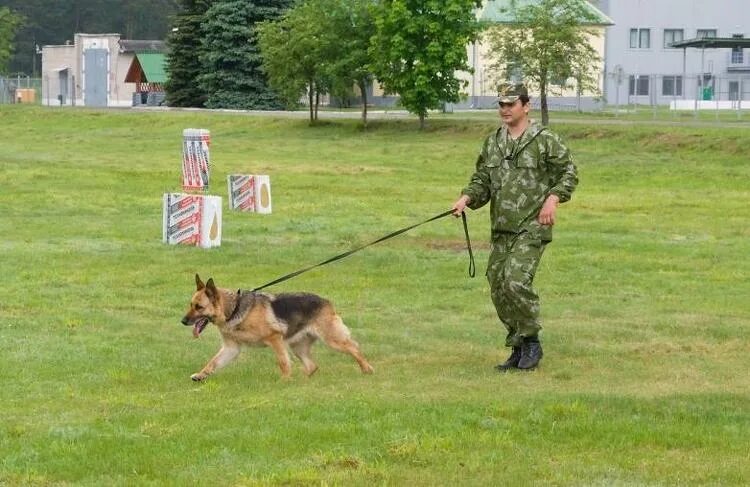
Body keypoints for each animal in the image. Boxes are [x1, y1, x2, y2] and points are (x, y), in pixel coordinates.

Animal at [183, 274, 376, 382]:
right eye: (191, 305)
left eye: (199, 307)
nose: (182, 321)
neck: (234, 309)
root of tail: (326, 301)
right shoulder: (231, 348)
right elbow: (213, 362)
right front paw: (200, 375)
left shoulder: (274, 339)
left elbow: (283, 362)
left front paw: (284, 380)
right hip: (297, 346)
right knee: (312, 366)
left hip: (332, 340)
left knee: (354, 347)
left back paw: (367, 369)